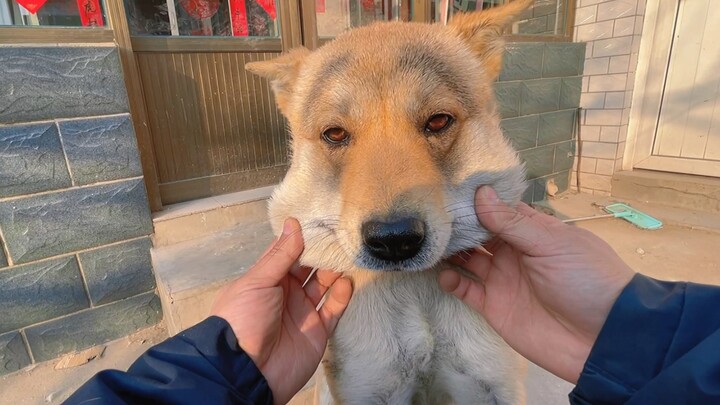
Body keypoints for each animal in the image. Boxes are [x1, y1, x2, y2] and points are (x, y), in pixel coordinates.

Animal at [249, 1, 536, 402]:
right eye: (334, 134)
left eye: (438, 121)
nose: (394, 240)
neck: (413, 292)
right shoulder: (369, 387)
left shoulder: (493, 384)